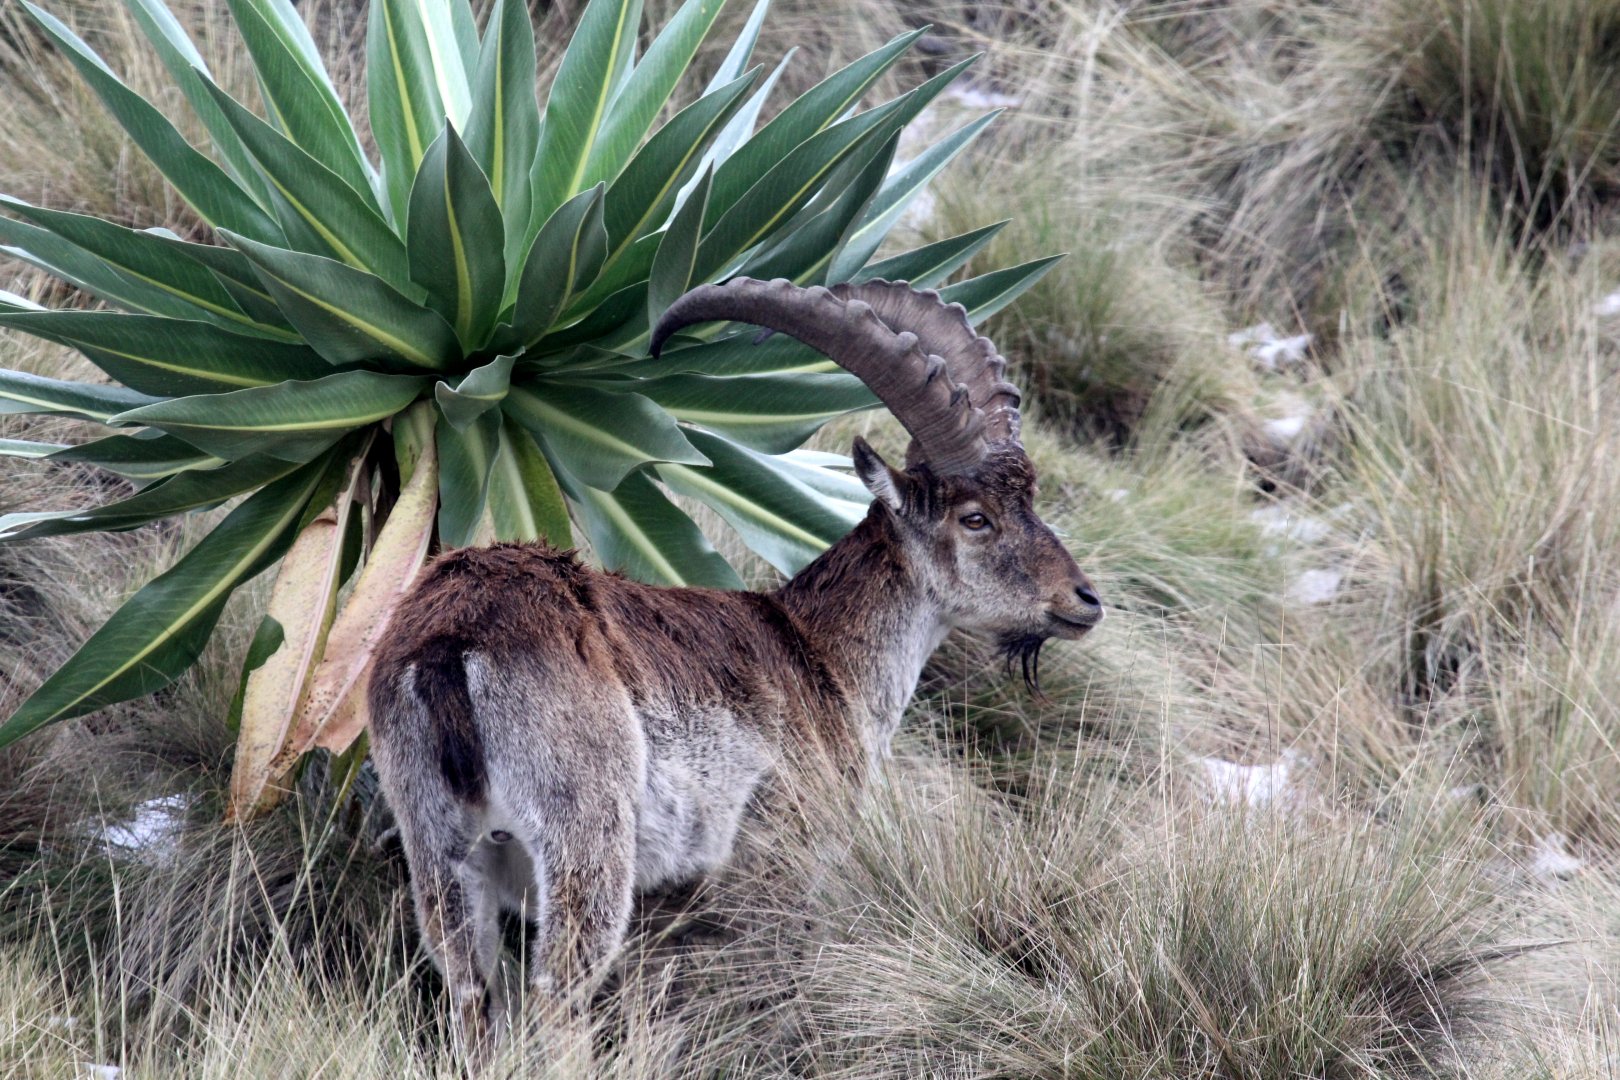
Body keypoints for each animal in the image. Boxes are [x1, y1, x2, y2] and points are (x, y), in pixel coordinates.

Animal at [367, 278, 1104, 1051]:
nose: (1083, 601)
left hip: (440, 845)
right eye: (975, 517)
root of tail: (453, 645)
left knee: (470, 992)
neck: (821, 656)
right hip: (584, 841)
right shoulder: (786, 854)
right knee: (557, 996)